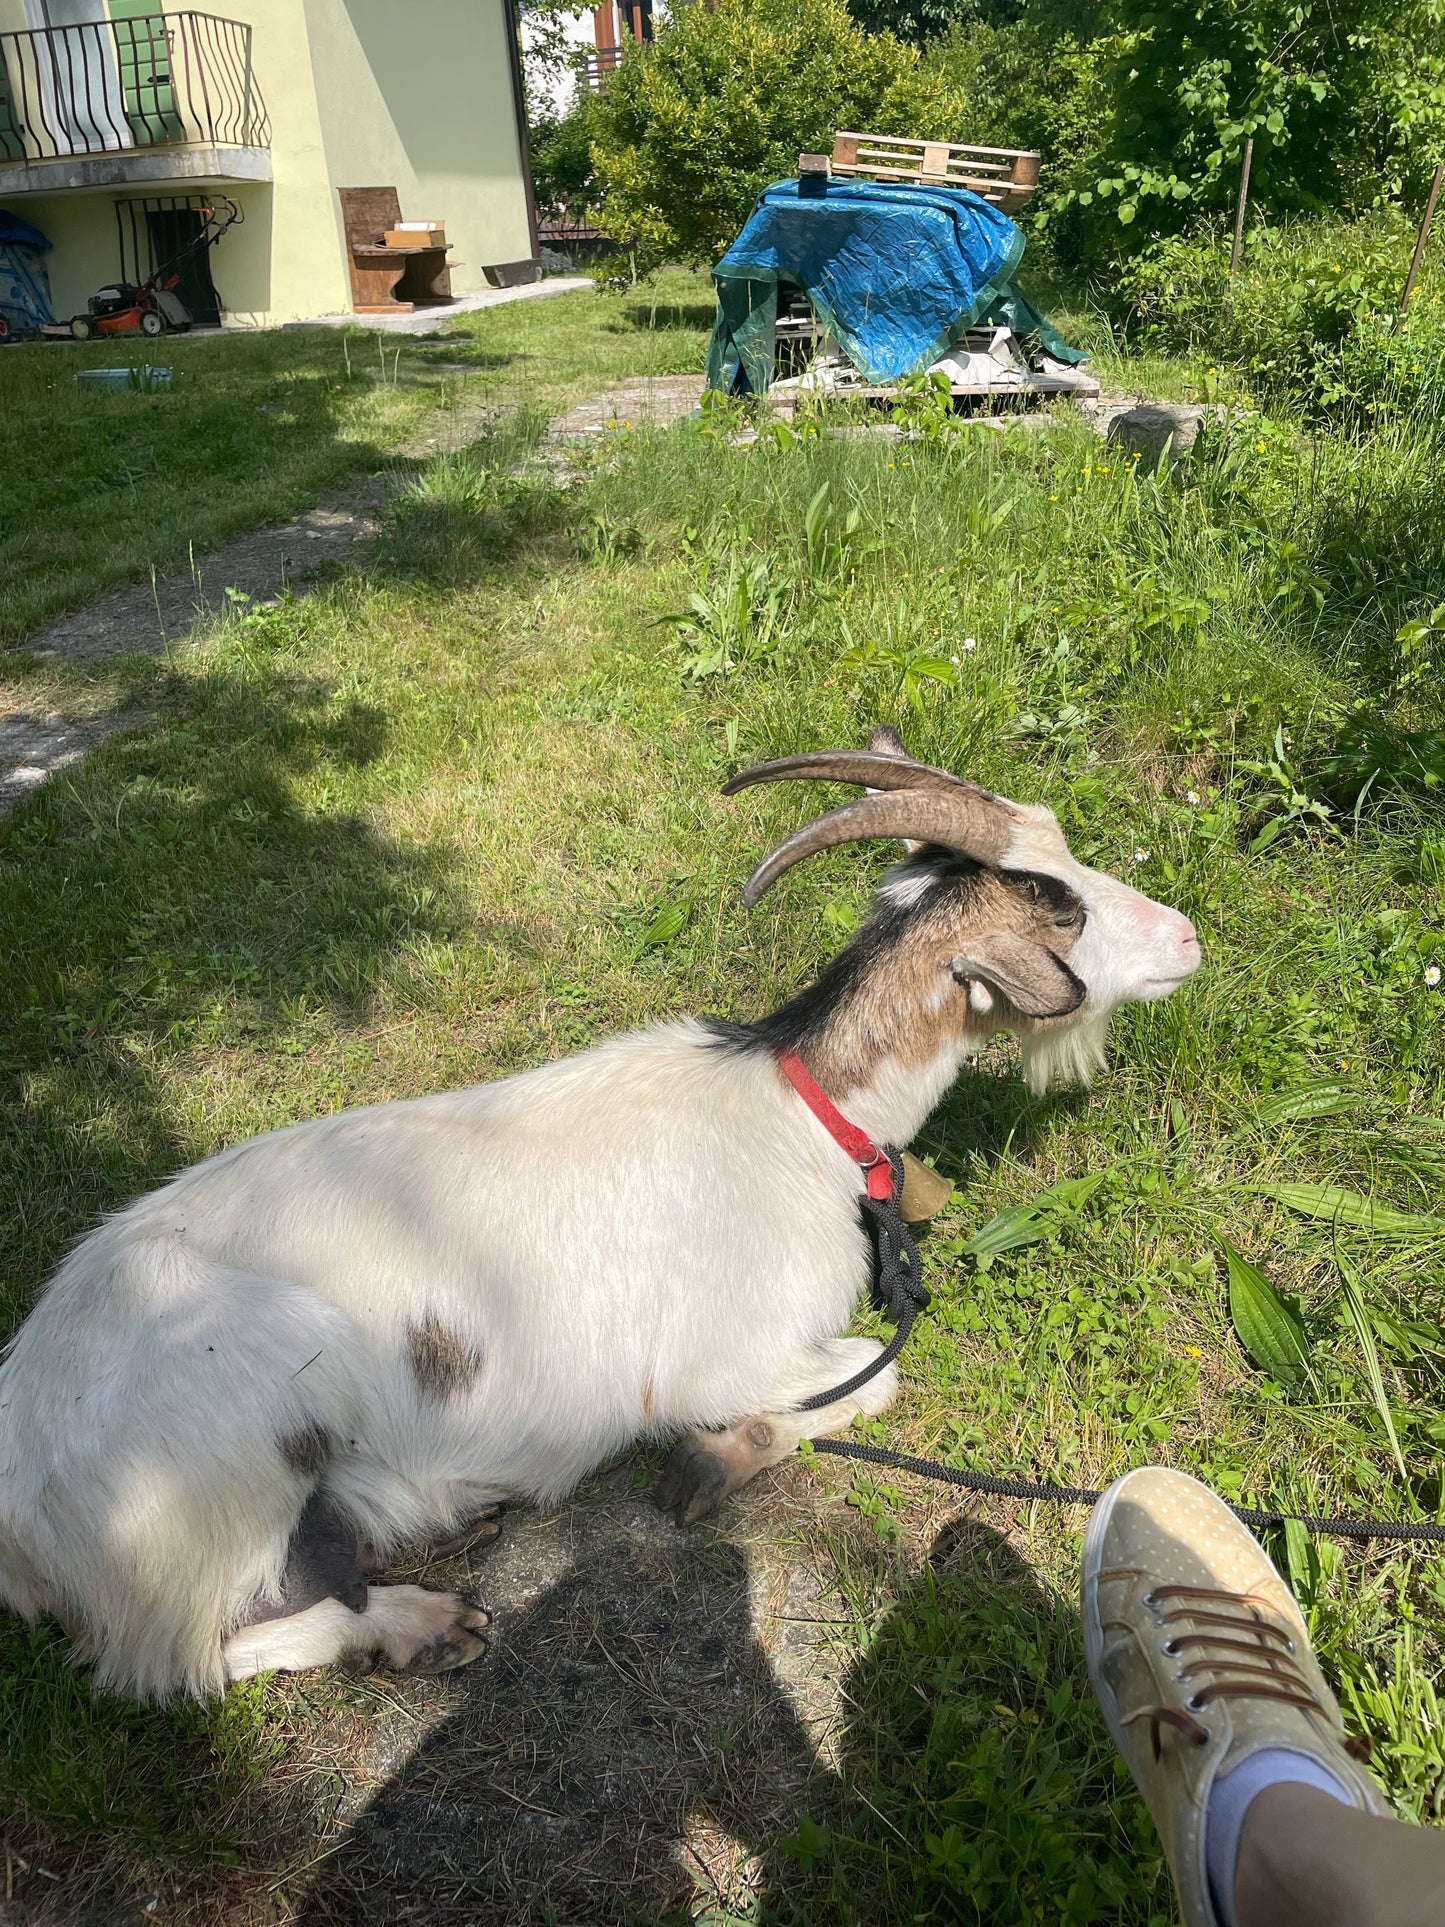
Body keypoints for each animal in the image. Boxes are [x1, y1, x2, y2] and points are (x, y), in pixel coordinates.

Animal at [0, 724, 1202, 1703]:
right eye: (1057, 902)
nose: (1186, 936)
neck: (797, 1110)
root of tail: (19, 1499)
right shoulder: (721, 1354)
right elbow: (874, 1376)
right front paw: (712, 1458)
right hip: (227, 1445)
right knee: (172, 1658)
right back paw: (421, 1624)